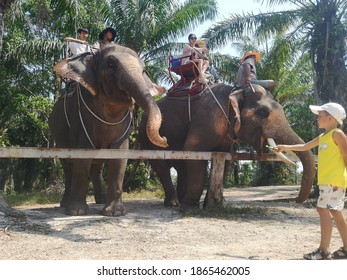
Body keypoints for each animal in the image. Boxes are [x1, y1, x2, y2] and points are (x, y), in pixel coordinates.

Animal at [49, 43, 168, 215]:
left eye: (144, 70)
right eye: (111, 64)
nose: (165, 140)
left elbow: (119, 157)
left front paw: (115, 213)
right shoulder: (80, 119)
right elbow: (82, 156)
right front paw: (77, 212)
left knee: (96, 166)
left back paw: (100, 200)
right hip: (57, 135)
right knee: (68, 166)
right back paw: (65, 205)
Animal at [138, 83, 316, 210]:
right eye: (263, 112)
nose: (296, 200)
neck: (235, 90)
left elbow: (225, 159)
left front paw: (213, 205)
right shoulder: (208, 118)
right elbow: (193, 150)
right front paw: (189, 209)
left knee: (181, 166)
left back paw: (180, 201)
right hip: (146, 136)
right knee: (161, 166)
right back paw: (175, 204)